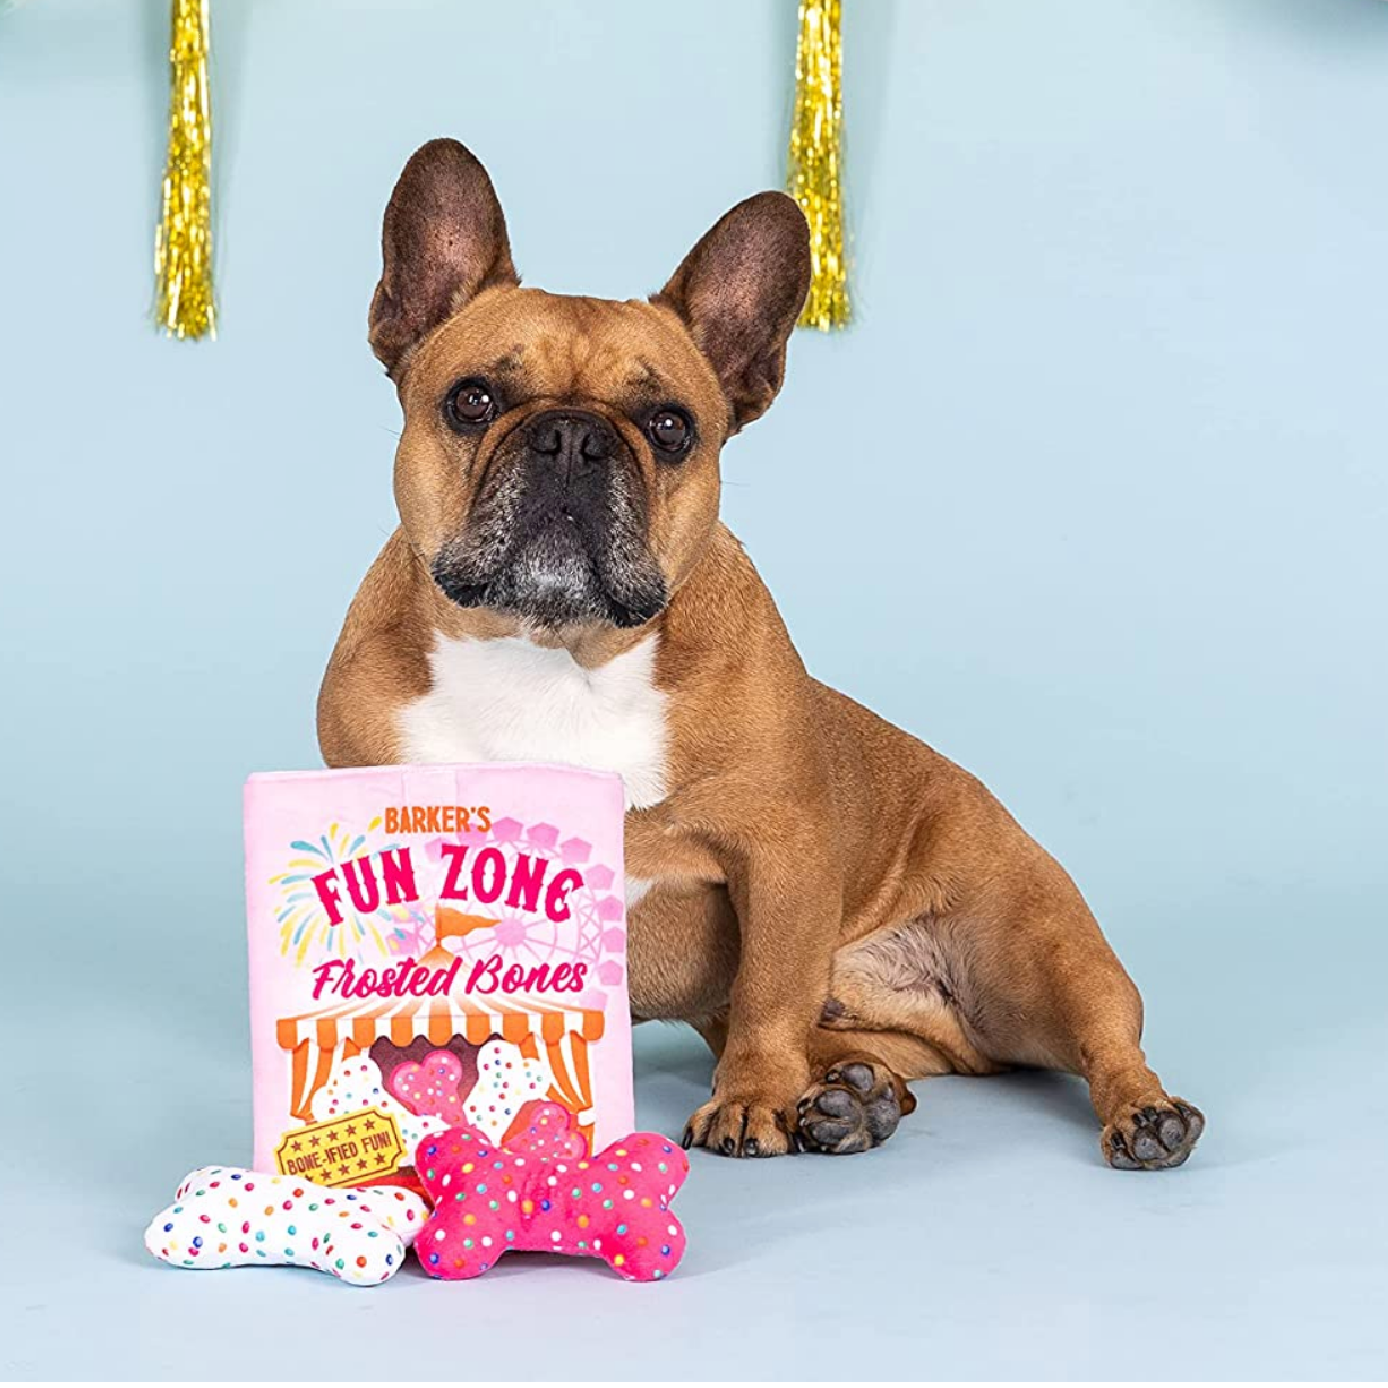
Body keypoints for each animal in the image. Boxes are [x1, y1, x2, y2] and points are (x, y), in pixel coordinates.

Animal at [318, 138, 1204, 1167]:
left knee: (1102, 1038)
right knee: (864, 1050)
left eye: (669, 427)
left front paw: (748, 1102)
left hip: (1037, 951)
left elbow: (771, 990)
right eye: (471, 401)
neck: (557, 649)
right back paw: (856, 1095)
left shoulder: (781, 853)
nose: (572, 436)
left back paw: (1141, 1114)